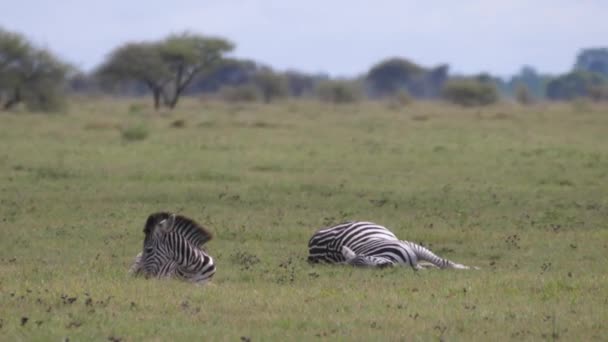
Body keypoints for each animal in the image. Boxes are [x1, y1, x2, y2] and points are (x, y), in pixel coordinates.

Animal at [306, 222, 478, 270]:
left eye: (367, 257)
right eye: (362, 269)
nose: (384, 266)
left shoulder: (412, 246)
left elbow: (444, 263)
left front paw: (471, 268)